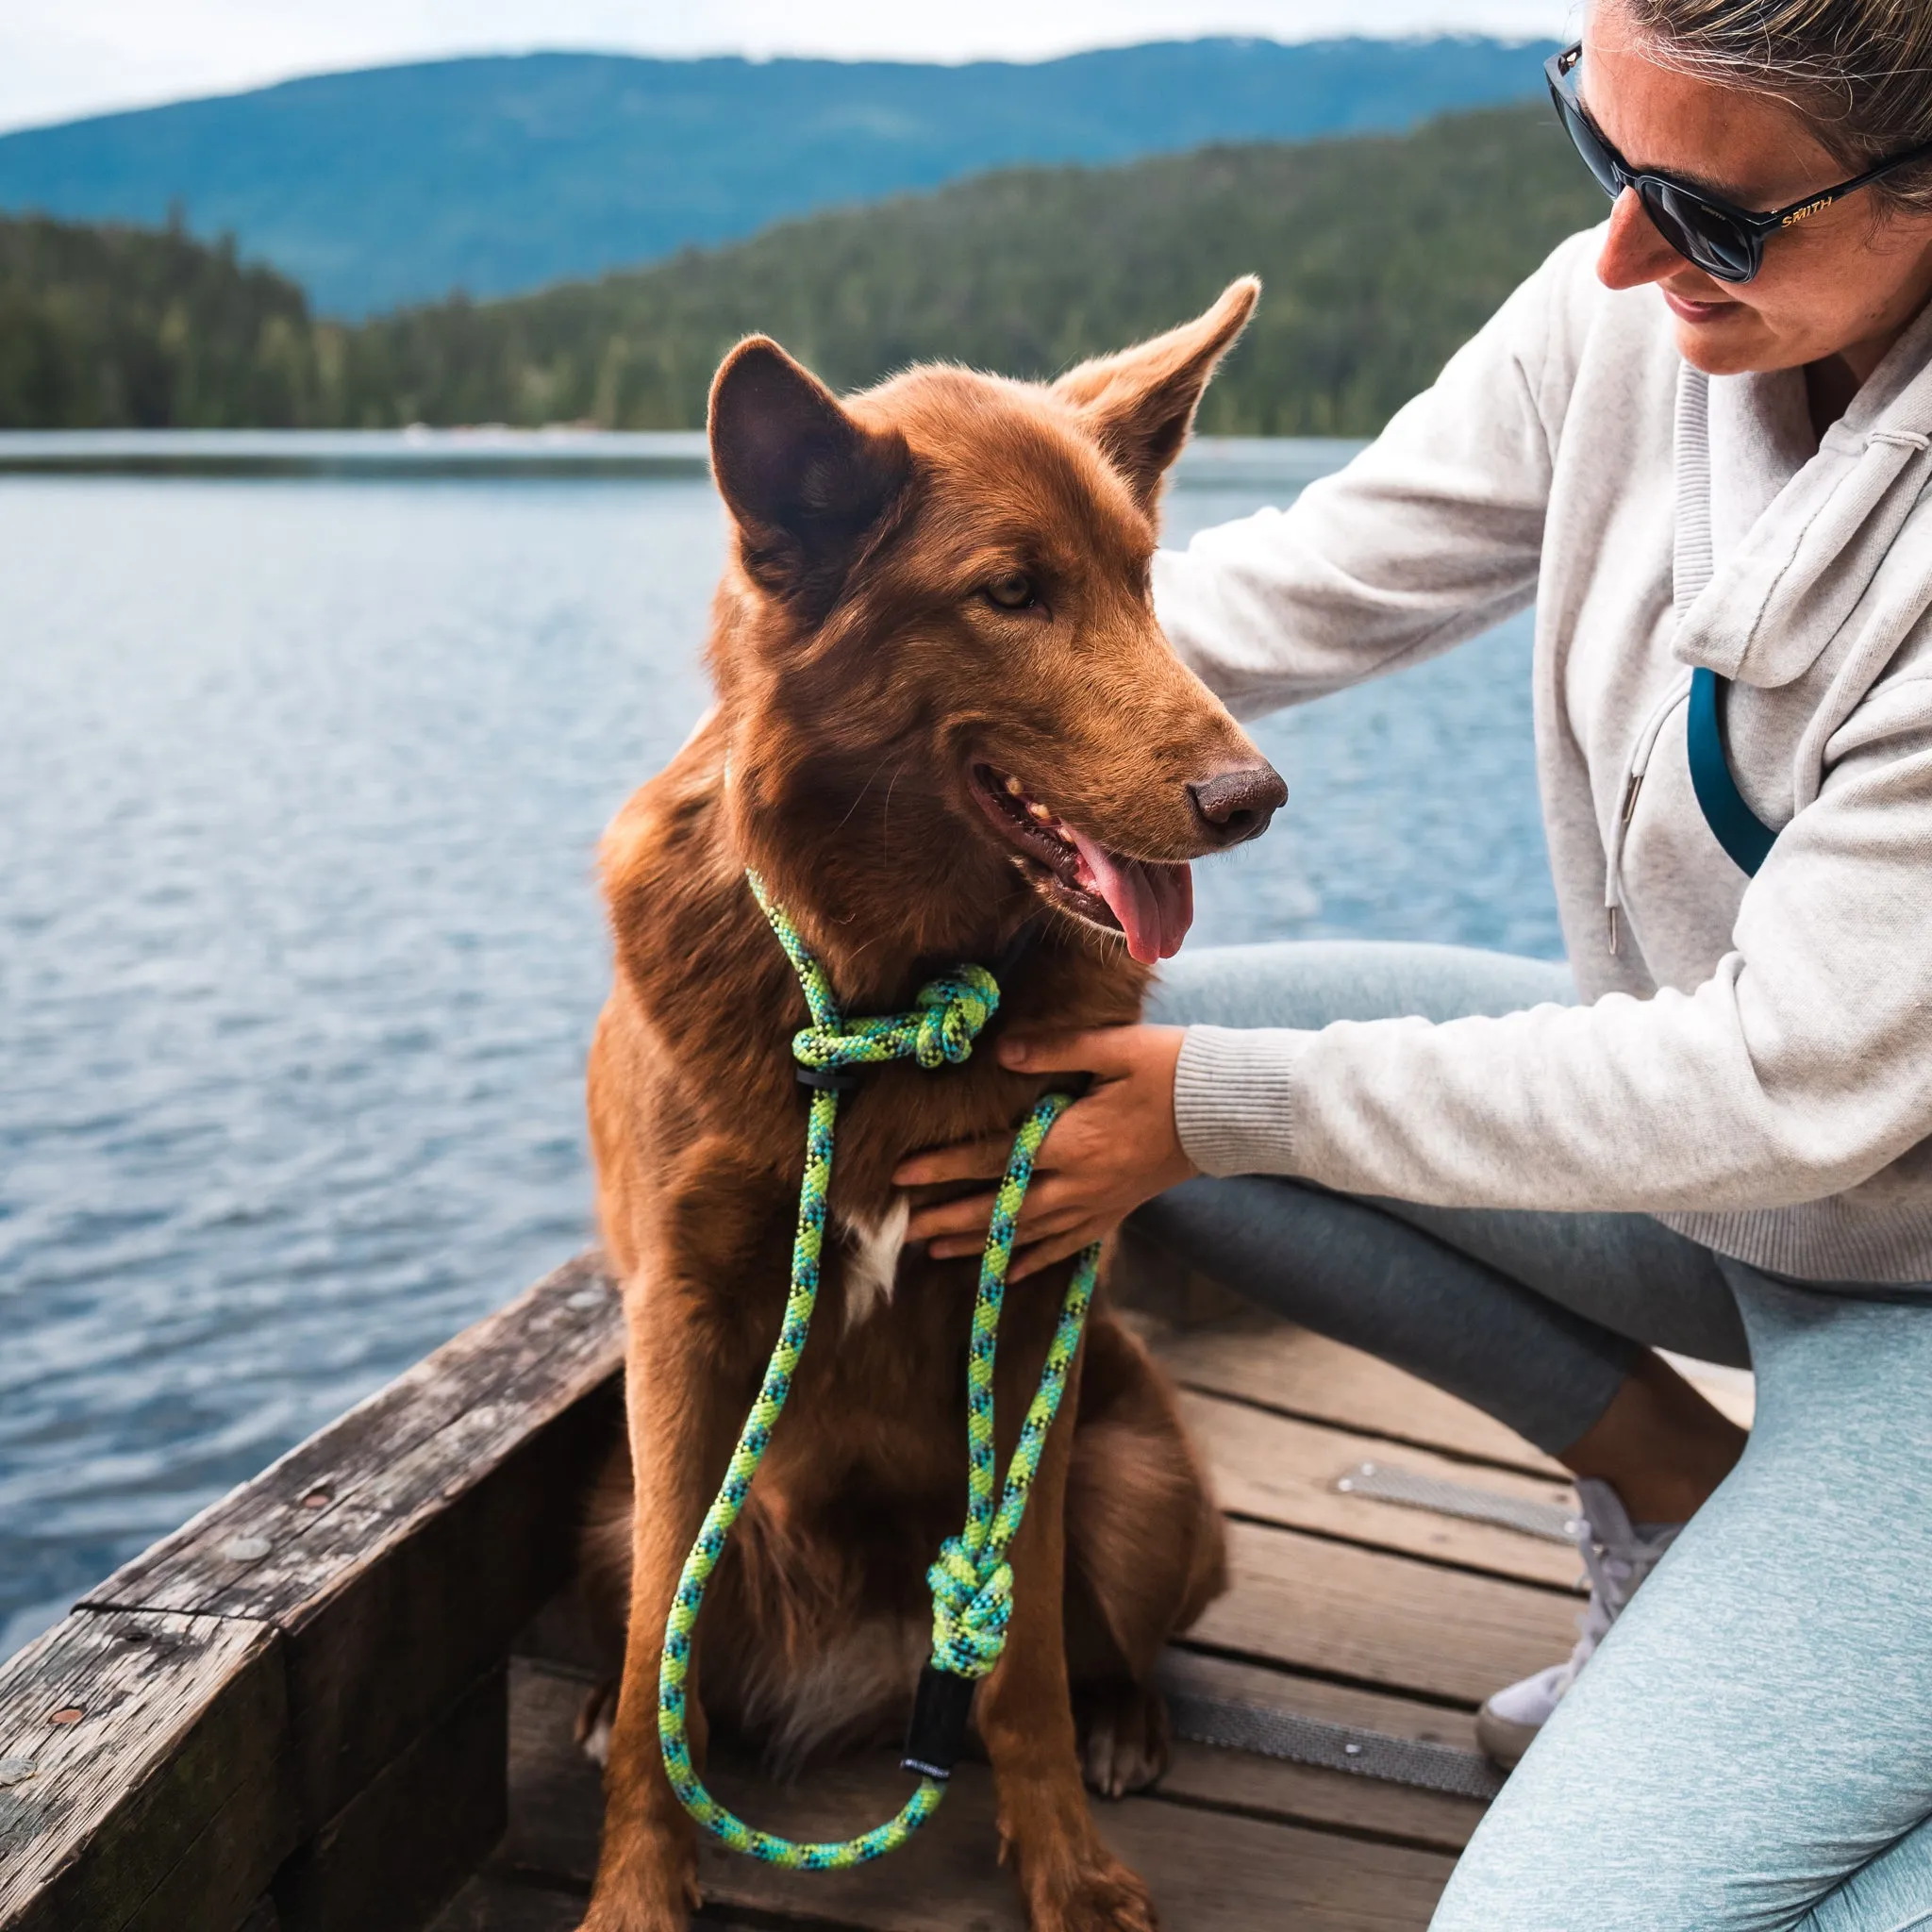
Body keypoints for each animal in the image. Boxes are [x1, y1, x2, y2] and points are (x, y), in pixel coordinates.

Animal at [579, 275, 1291, 1932]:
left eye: (1144, 581)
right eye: (1011, 593)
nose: (1251, 798)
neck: (892, 993)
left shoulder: (1028, 1303)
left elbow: (1020, 1652)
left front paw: (1068, 1872)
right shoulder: (683, 1321)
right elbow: (656, 1656)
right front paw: (636, 1886)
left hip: (1145, 1481)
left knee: (1100, 1641)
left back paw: (1127, 1732)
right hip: (610, 1506)